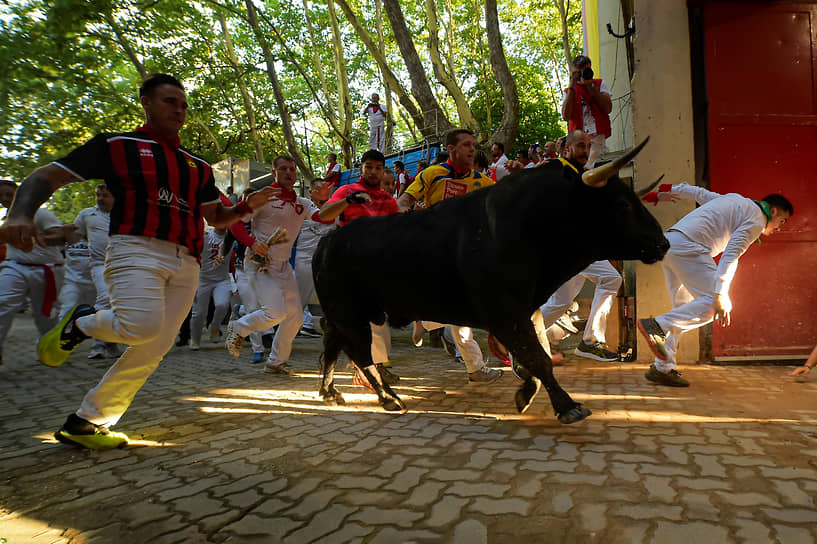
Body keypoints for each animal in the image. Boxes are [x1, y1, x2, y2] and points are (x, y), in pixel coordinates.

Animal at [312, 150, 668, 424]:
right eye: (622, 203)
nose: (662, 243)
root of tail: (328, 239)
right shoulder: (505, 314)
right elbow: (537, 357)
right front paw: (567, 406)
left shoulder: (527, 309)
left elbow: (535, 354)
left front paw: (525, 393)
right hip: (350, 314)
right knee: (360, 353)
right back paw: (388, 397)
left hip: (346, 315)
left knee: (332, 342)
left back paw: (330, 392)